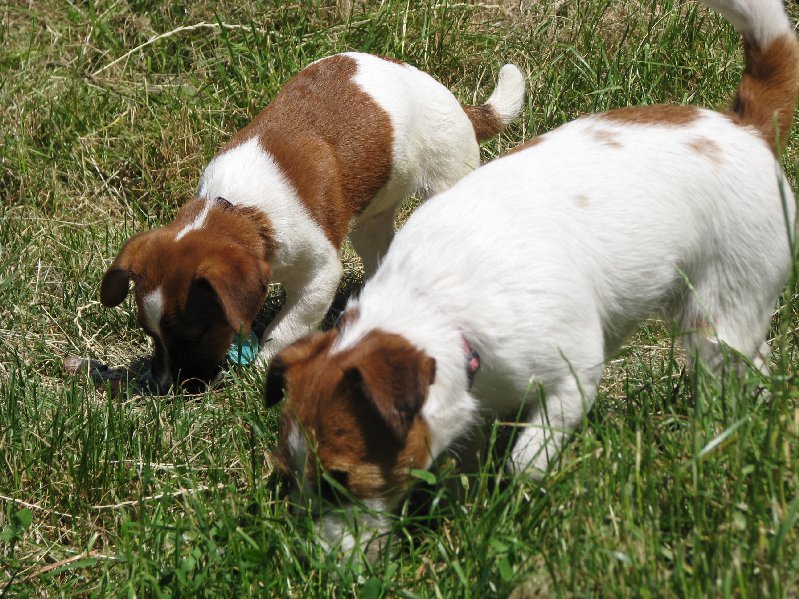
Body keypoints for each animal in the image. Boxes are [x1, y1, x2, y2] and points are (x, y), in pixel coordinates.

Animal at [98, 54, 524, 392]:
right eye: (150, 334)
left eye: (194, 334)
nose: (165, 388)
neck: (240, 209)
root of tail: (457, 104)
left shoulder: (319, 274)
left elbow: (287, 327)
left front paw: (262, 366)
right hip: (370, 222)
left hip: (446, 177)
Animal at [264, 1, 799, 564]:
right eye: (290, 474)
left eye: (341, 479)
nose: (313, 561)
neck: (438, 309)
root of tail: (747, 127)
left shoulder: (572, 379)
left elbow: (526, 460)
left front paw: (516, 497)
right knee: (759, 365)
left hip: (719, 317)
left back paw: (717, 435)